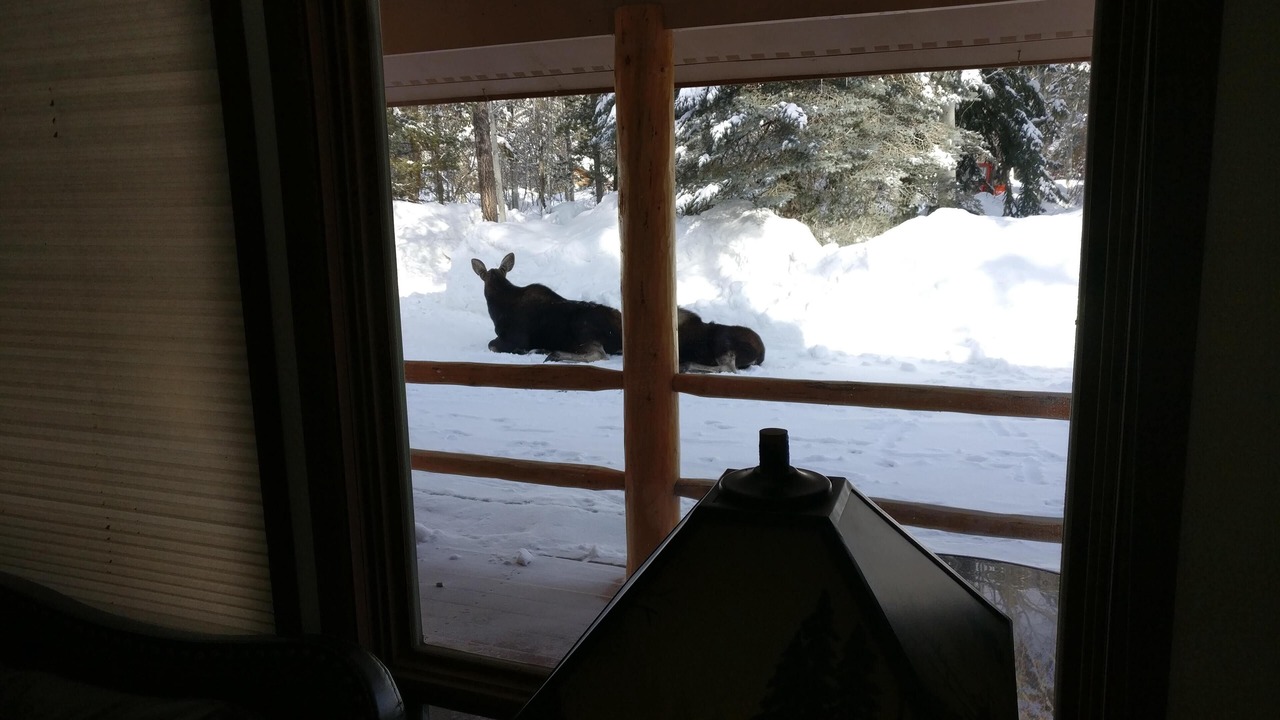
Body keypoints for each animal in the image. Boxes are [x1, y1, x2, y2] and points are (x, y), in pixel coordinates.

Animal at [471, 252, 623, 363]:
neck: (496, 310)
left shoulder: (516, 339)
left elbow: (491, 345)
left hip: (583, 328)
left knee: (599, 354)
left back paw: (554, 354)